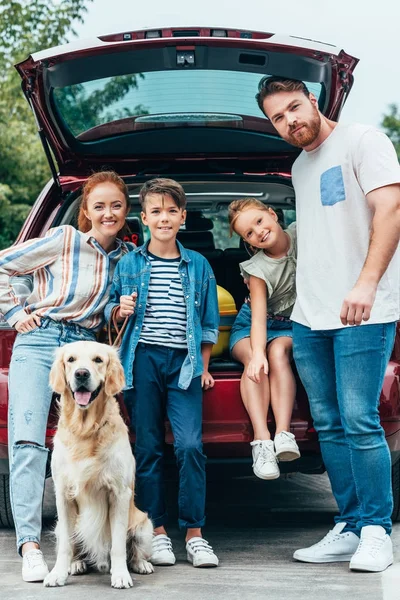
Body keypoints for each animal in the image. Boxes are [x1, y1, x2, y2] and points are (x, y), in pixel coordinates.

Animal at [43, 340, 153, 588]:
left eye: (98, 360)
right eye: (71, 360)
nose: (81, 374)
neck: (85, 430)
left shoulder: (119, 493)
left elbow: (118, 545)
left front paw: (120, 575)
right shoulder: (63, 494)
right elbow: (65, 546)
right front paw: (57, 573)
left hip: (144, 524)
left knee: (135, 550)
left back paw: (141, 564)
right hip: (62, 525)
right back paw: (76, 564)